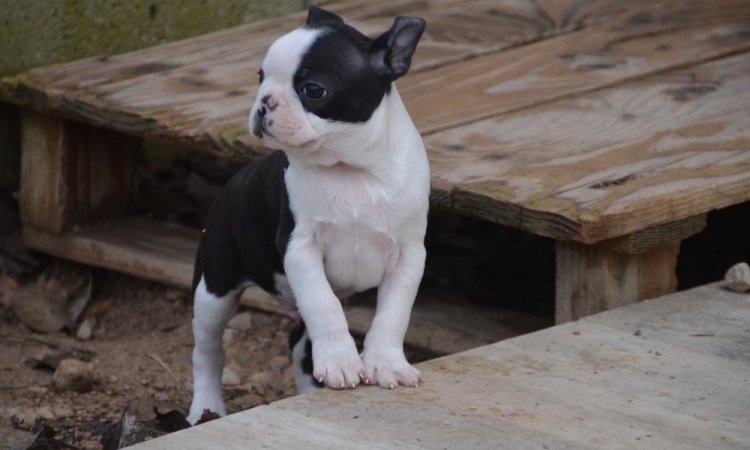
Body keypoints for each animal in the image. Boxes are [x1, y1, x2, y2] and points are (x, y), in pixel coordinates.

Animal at [189, 4, 428, 426]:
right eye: (261, 77)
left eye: (313, 90)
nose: (264, 102)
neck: (353, 170)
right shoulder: (300, 248)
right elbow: (324, 305)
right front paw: (342, 361)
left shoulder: (410, 255)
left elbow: (393, 313)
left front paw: (385, 363)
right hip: (214, 285)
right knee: (207, 350)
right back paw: (205, 406)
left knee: (299, 342)